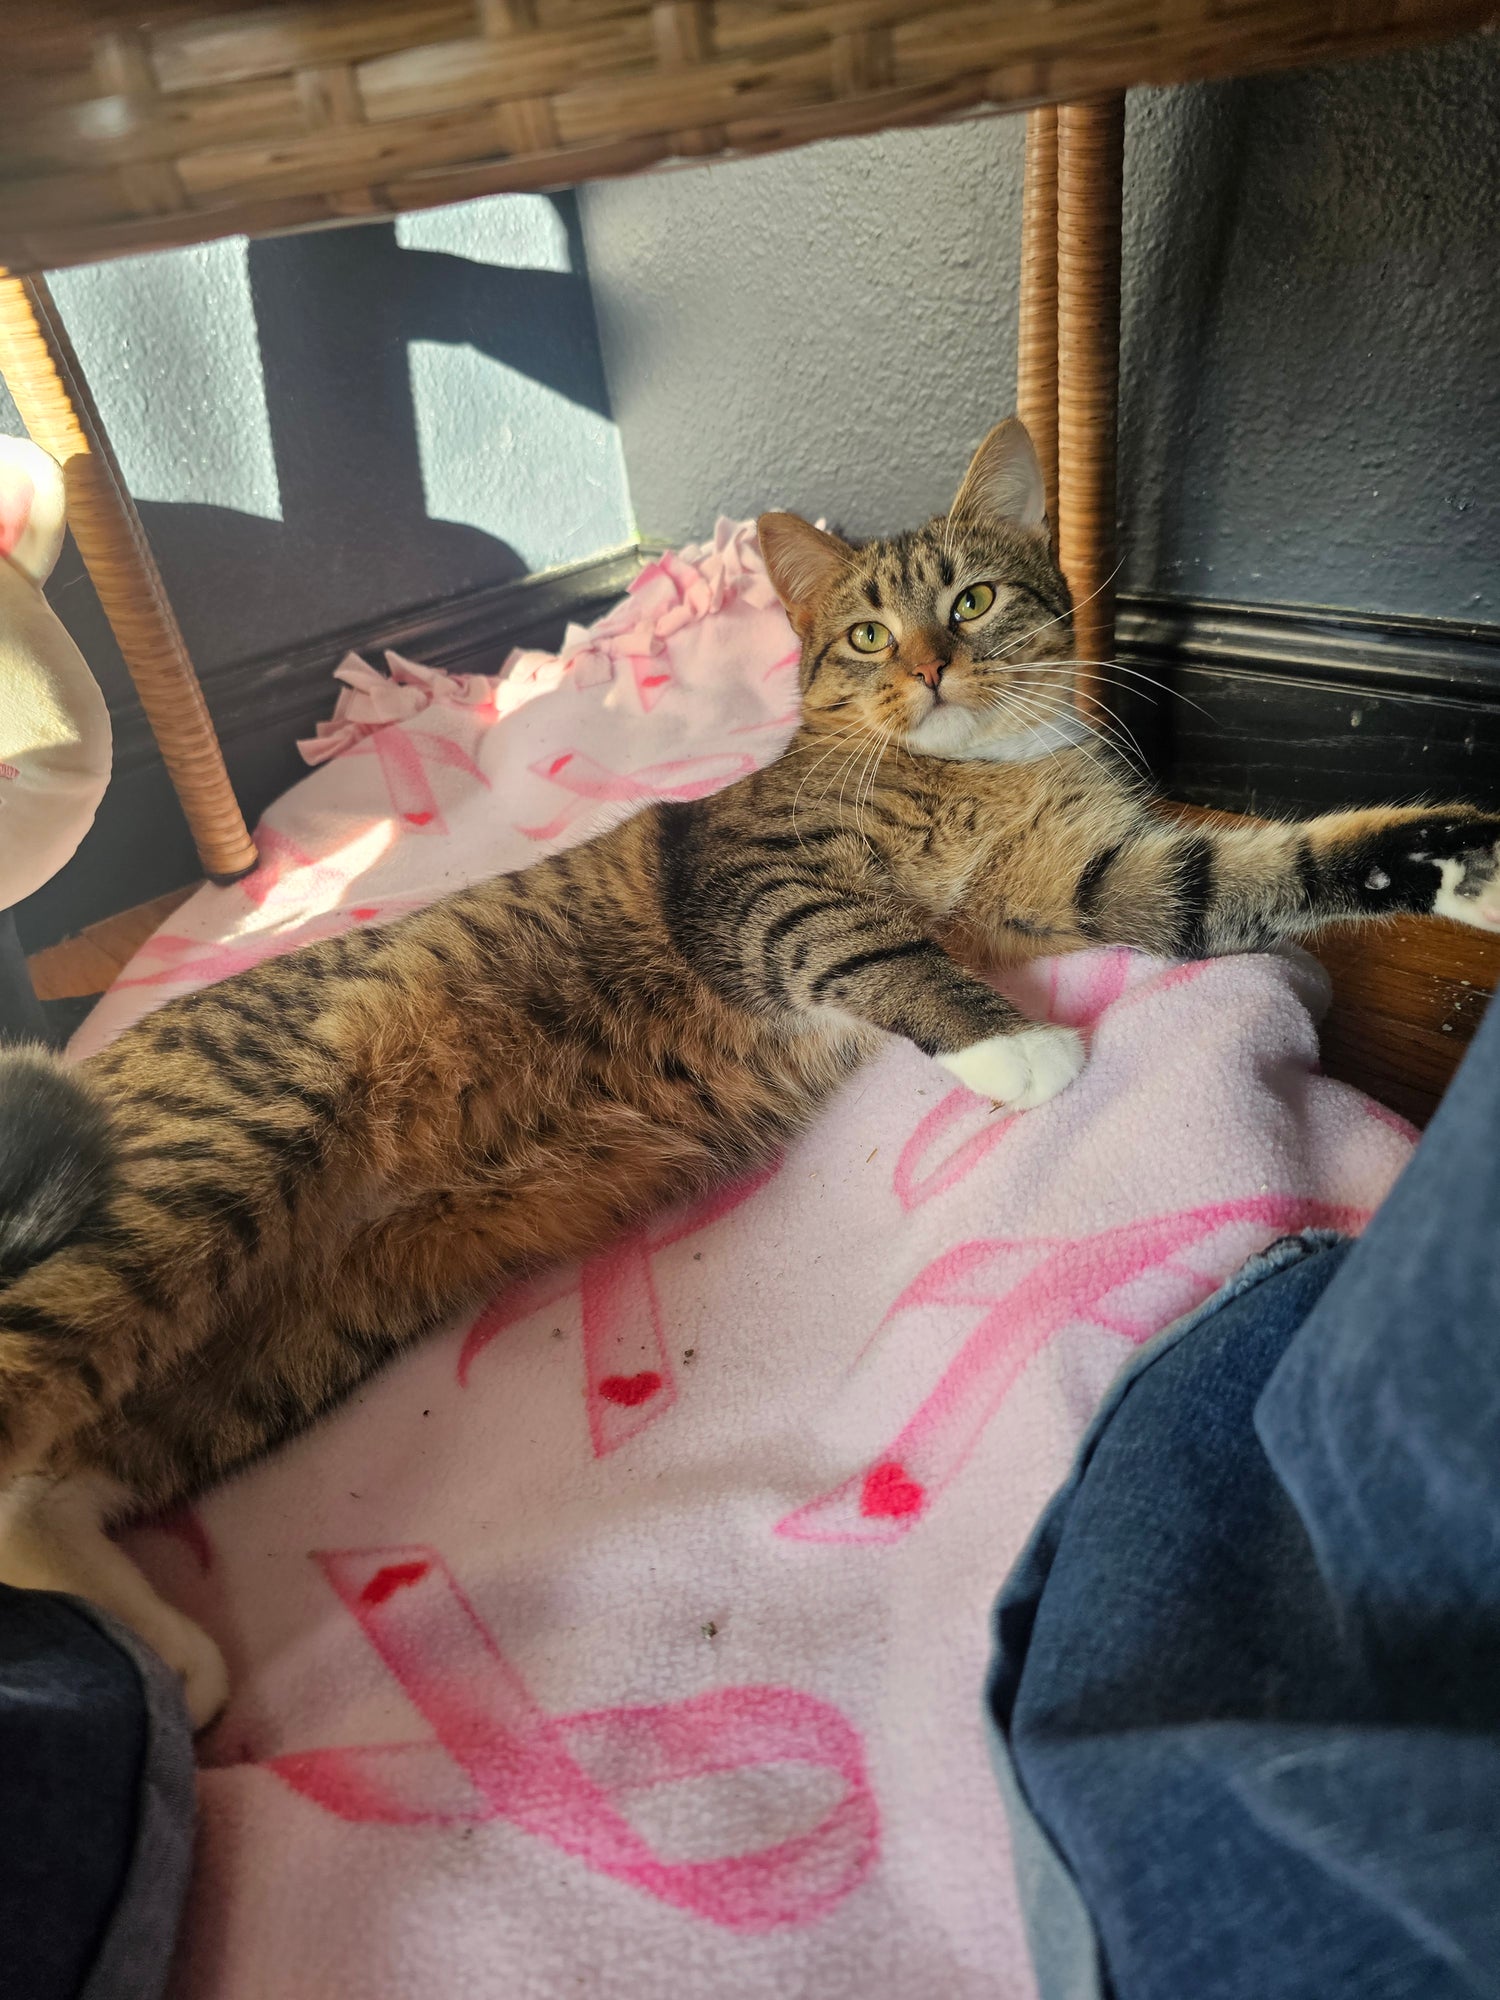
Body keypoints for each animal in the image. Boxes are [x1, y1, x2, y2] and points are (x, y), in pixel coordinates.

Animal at [3, 415, 1499, 1727]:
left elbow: (1253, 872)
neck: (963, 778)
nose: (930, 670)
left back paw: (168, 1659)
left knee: (34, 1497)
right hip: (209, 1171)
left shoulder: (1099, 872)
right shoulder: (760, 889)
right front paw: (1015, 1045)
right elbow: (873, 941)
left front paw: (1456, 860)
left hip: (251, 1357)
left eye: (972, 600)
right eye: (867, 633)